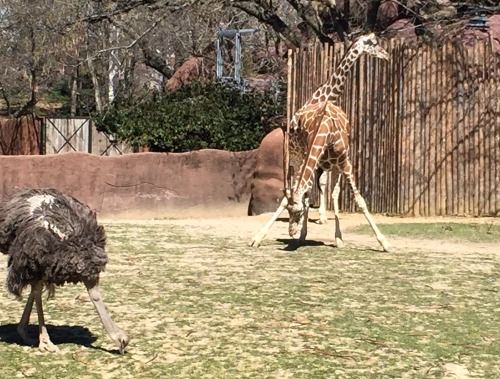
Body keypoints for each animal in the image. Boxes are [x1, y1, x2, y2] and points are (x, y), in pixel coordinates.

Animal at [250, 33, 390, 249]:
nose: (386, 55)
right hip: (295, 157)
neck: (324, 97)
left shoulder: (333, 162)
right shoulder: (309, 158)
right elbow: (305, 193)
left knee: (324, 189)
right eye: (373, 44)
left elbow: (329, 190)